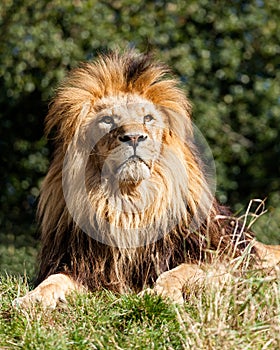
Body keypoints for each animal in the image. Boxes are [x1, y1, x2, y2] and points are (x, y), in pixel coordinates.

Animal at [13, 50, 280, 308]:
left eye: (148, 118)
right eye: (107, 120)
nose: (133, 137)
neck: (130, 202)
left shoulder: (223, 260)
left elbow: (179, 271)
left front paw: (160, 294)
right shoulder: (83, 266)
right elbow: (54, 279)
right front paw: (32, 298)